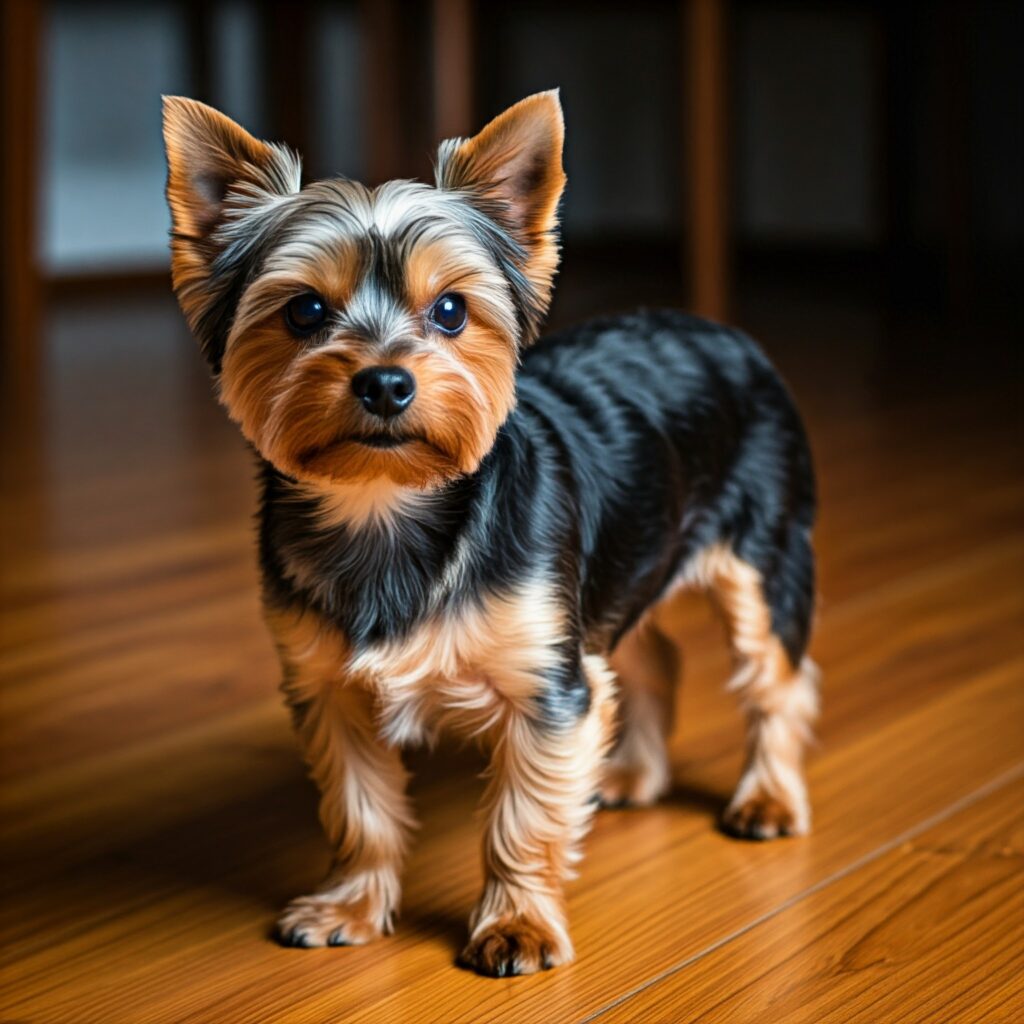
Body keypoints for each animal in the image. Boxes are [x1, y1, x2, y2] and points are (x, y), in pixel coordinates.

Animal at [161, 90, 815, 974]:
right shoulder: (330, 688)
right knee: (648, 656)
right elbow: (360, 809)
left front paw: (517, 927)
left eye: (450, 311)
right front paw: (349, 906)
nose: (386, 382)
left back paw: (769, 798)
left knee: (773, 680)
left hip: (762, 556)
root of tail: (719, 329)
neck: (386, 509)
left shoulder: (544, 683)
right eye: (304, 310)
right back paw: (631, 774)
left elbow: (524, 816)